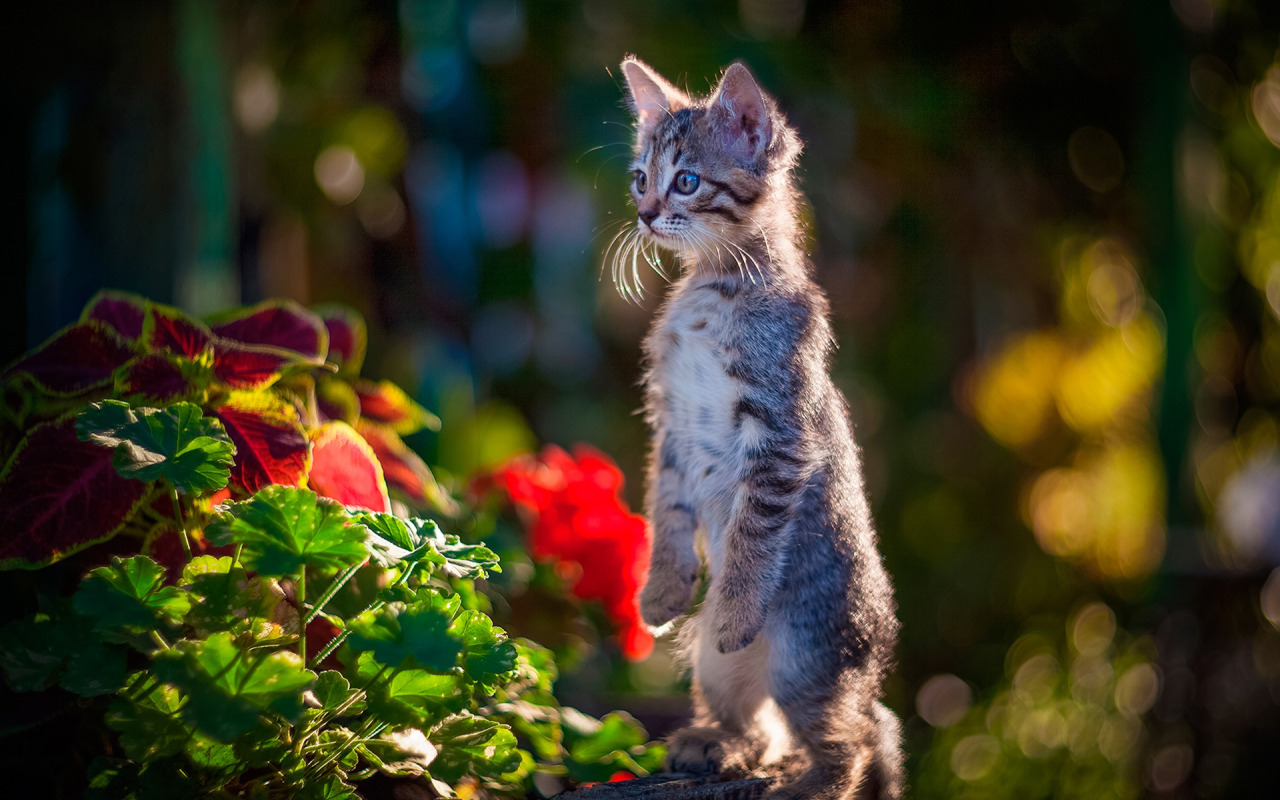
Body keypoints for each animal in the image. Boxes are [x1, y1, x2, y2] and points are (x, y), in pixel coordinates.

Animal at [616, 57, 906, 798]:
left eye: (687, 181)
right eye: (640, 176)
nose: (646, 213)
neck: (715, 287)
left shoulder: (779, 435)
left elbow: (751, 535)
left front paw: (739, 609)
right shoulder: (670, 424)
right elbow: (665, 509)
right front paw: (661, 591)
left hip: (806, 660)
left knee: (861, 736)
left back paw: (815, 781)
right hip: (719, 670)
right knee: (758, 721)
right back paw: (716, 743)